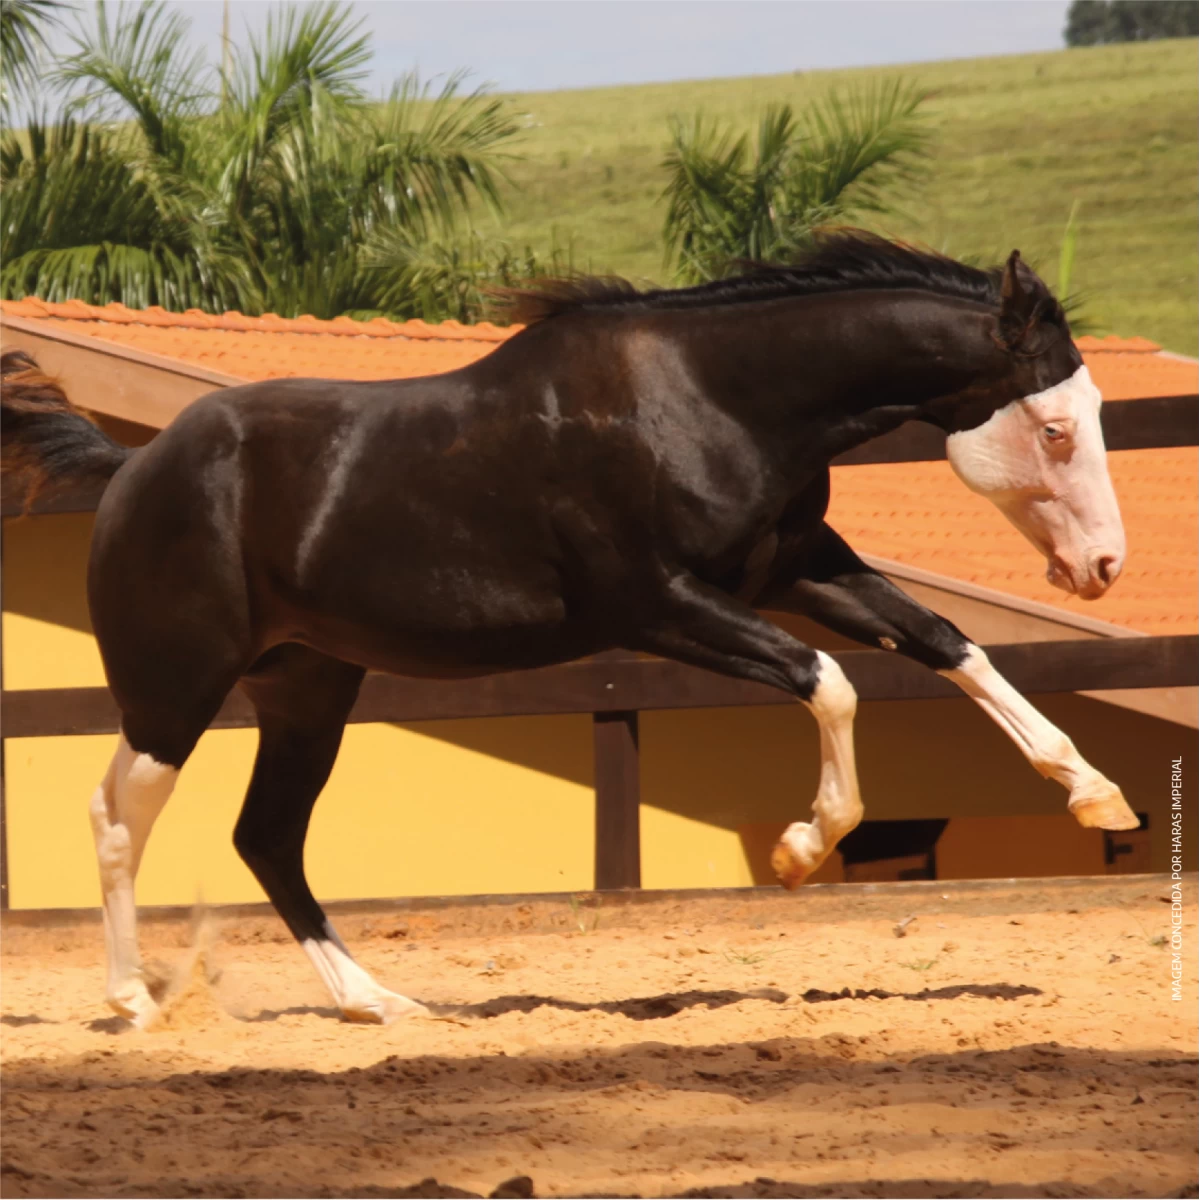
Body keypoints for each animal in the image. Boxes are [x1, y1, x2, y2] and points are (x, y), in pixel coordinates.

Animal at [0, 234, 1132, 1032]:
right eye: (1054, 428)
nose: (1101, 569)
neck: (708, 400)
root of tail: (130, 471)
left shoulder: (798, 570)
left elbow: (946, 644)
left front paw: (1096, 795)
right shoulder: (657, 605)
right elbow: (831, 682)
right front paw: (801, 851)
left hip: (307, 686)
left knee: (267, 836)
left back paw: (378, 1003)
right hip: (175, 686)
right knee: (117, 815)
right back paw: (134, 1004)